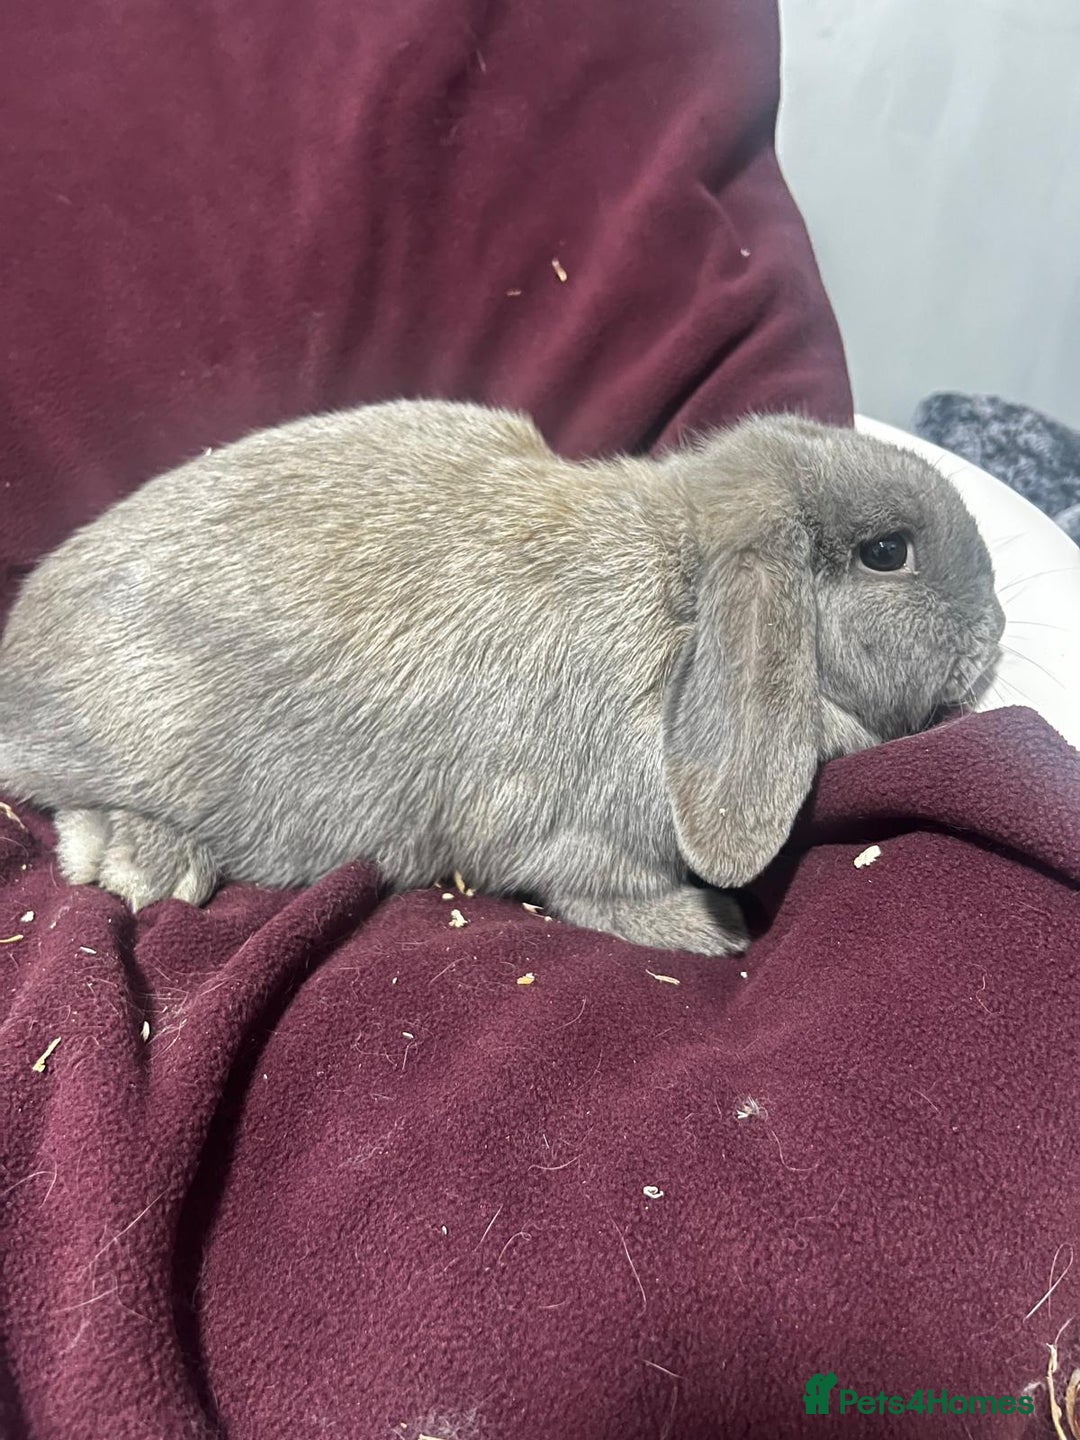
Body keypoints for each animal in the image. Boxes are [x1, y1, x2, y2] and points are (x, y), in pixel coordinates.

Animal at [0, 400, 1004, 955]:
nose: (994, 635)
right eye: (888, 553)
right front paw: (714, 929)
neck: (683, 594)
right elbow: (600, 891)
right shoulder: (577, 834)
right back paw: (143, 864)